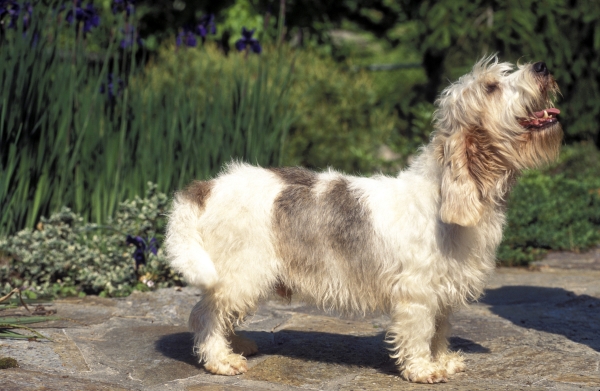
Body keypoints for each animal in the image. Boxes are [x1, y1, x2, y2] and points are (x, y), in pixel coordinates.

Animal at [165, 56, 564, 384]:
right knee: (204, 315)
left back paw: (237, 344)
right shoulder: (417, 292)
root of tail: (208, 185)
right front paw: (423, 370)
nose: (543, 66)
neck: (442, 196)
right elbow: (420, 331)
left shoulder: (443, 290)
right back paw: (220, 359)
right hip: (240, 273)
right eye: (492, 87)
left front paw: (443, 361)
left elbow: (440, 330)